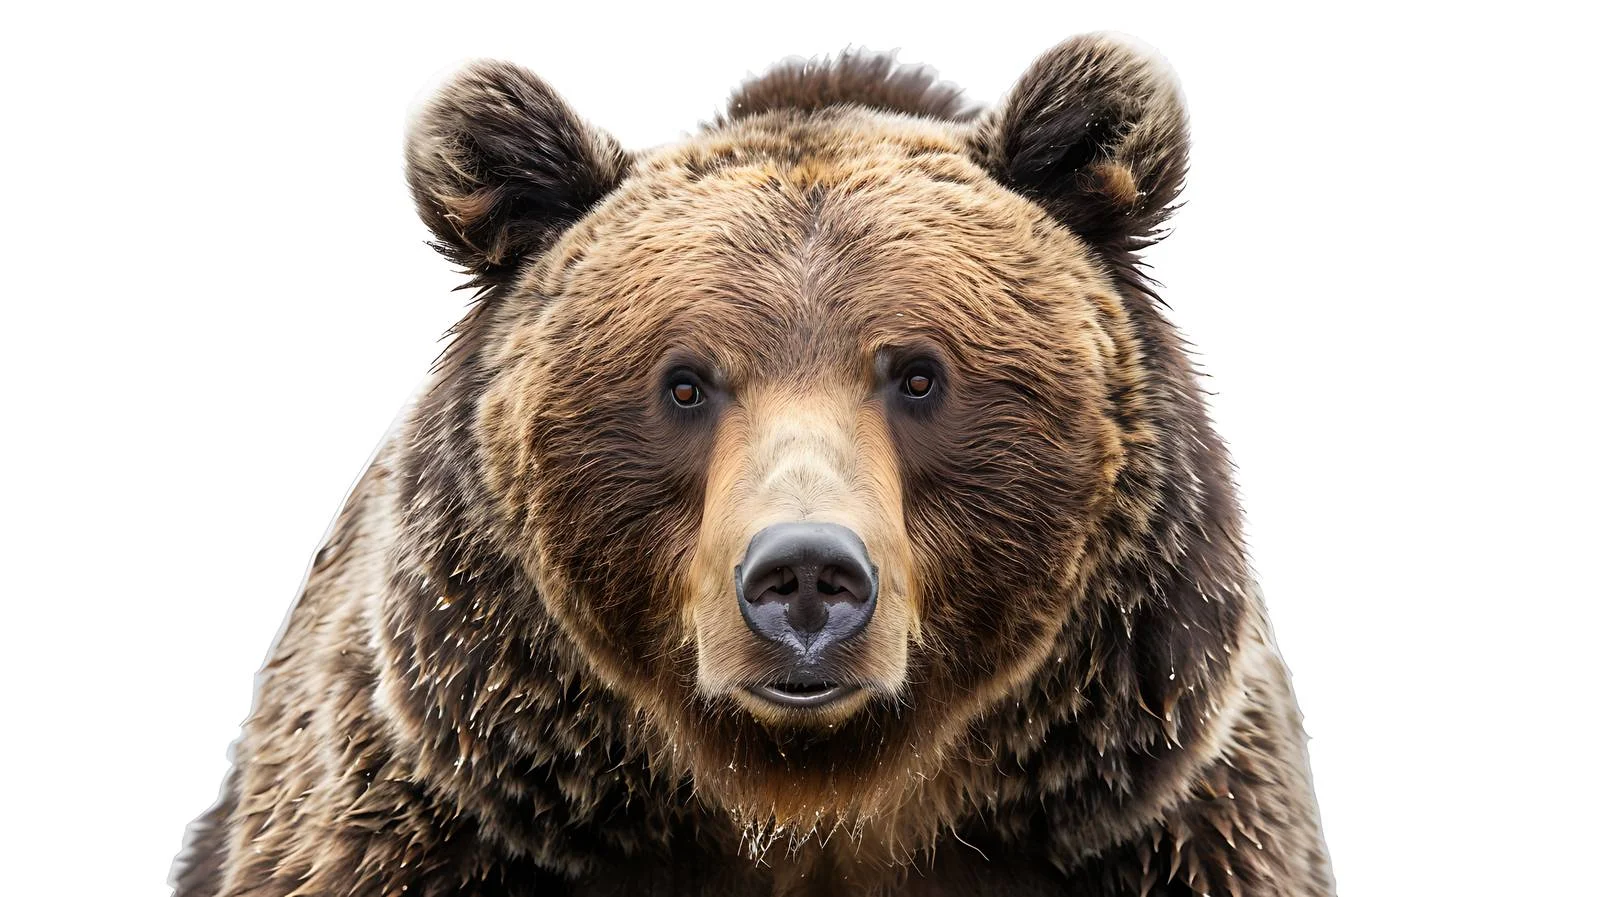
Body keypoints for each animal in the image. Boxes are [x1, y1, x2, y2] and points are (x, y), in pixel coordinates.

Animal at [172, 34, 1335, 897]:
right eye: (685, 382)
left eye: (918, 375)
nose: (807, 577)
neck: (806, 806)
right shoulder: (444, 826)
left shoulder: (1161, 832)